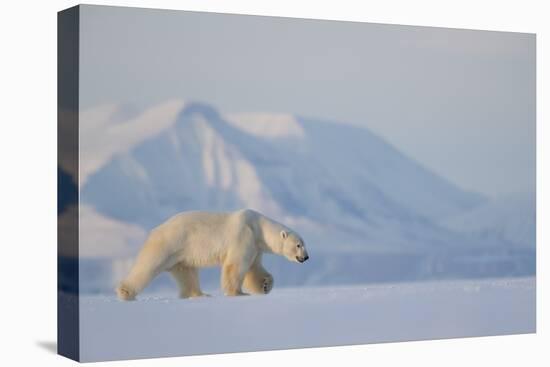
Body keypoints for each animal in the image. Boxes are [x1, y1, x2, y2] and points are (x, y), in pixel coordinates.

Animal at [116, 208, 308, 300]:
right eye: (298, 245)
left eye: (304, 244)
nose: (306, 257)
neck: (258, 227)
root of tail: (156, 229)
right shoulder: (244, 236)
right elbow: (236, 265)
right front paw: (238, 293)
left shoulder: (255, 246)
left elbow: (254, 269)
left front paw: (265, 284)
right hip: (169, 243)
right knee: (148, 264)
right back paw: (125, 292)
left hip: (181, 255)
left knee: (187, 274)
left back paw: (200, 294)